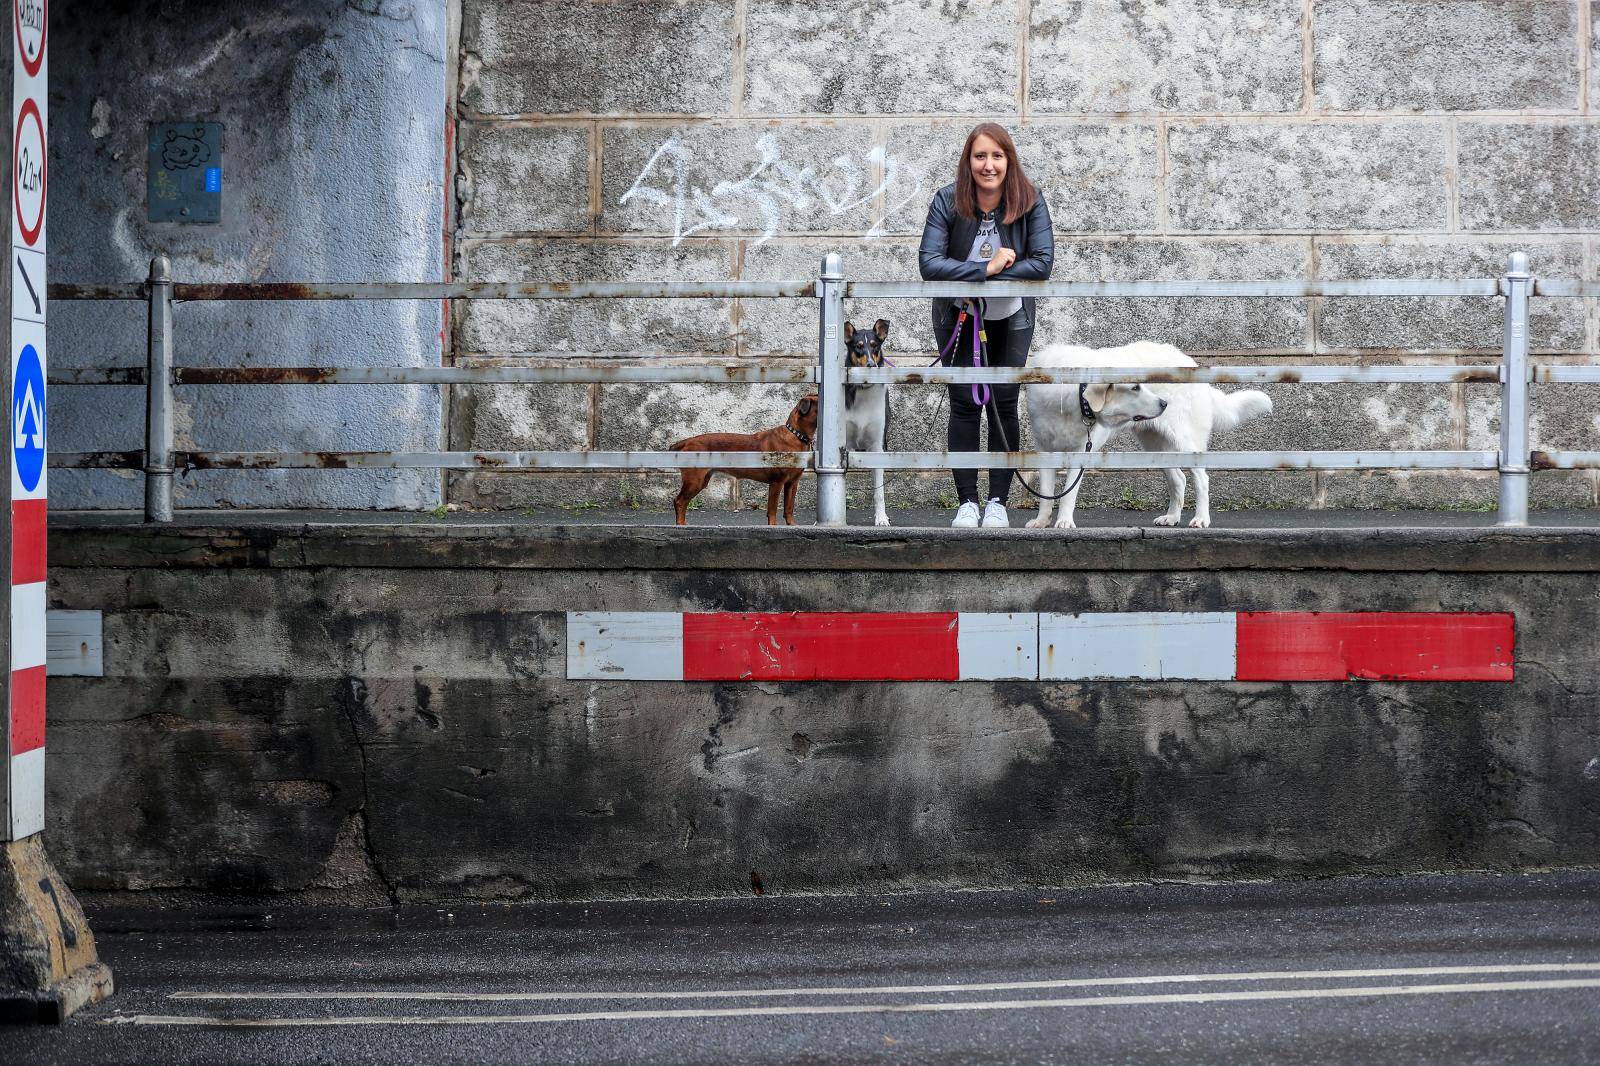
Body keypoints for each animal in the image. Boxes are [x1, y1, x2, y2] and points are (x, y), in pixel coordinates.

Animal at [665, 392, 819, 524]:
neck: (796, 435)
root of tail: (687, 441)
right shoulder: (777, 482)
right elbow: (772, 510)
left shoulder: (792, 483)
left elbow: (789, 508)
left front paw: (792, 525)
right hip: (694, 480)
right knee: (679, 501)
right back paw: (681, 525)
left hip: (701, 480)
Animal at [844, 320, 896, 528]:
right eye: (858, 346)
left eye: (875, 345)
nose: (871, 365)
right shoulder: (845, 447)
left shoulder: (877, 447)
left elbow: (879, 492)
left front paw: (881, 518)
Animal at [1024, 342, 1273, 528]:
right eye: (1135, 387)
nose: (1164, 403)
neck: (1069, 402)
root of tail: (1190, 362)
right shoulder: (1044, 449)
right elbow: (1046, 492)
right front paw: (1041, 522)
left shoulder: (1081, 451)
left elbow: (1069, 493)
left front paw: (1065, 522)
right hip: (1157, 446)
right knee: (1179, 479)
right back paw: (1171, 518)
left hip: (1185, 441)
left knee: (1201, 479)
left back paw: (1201, 519)